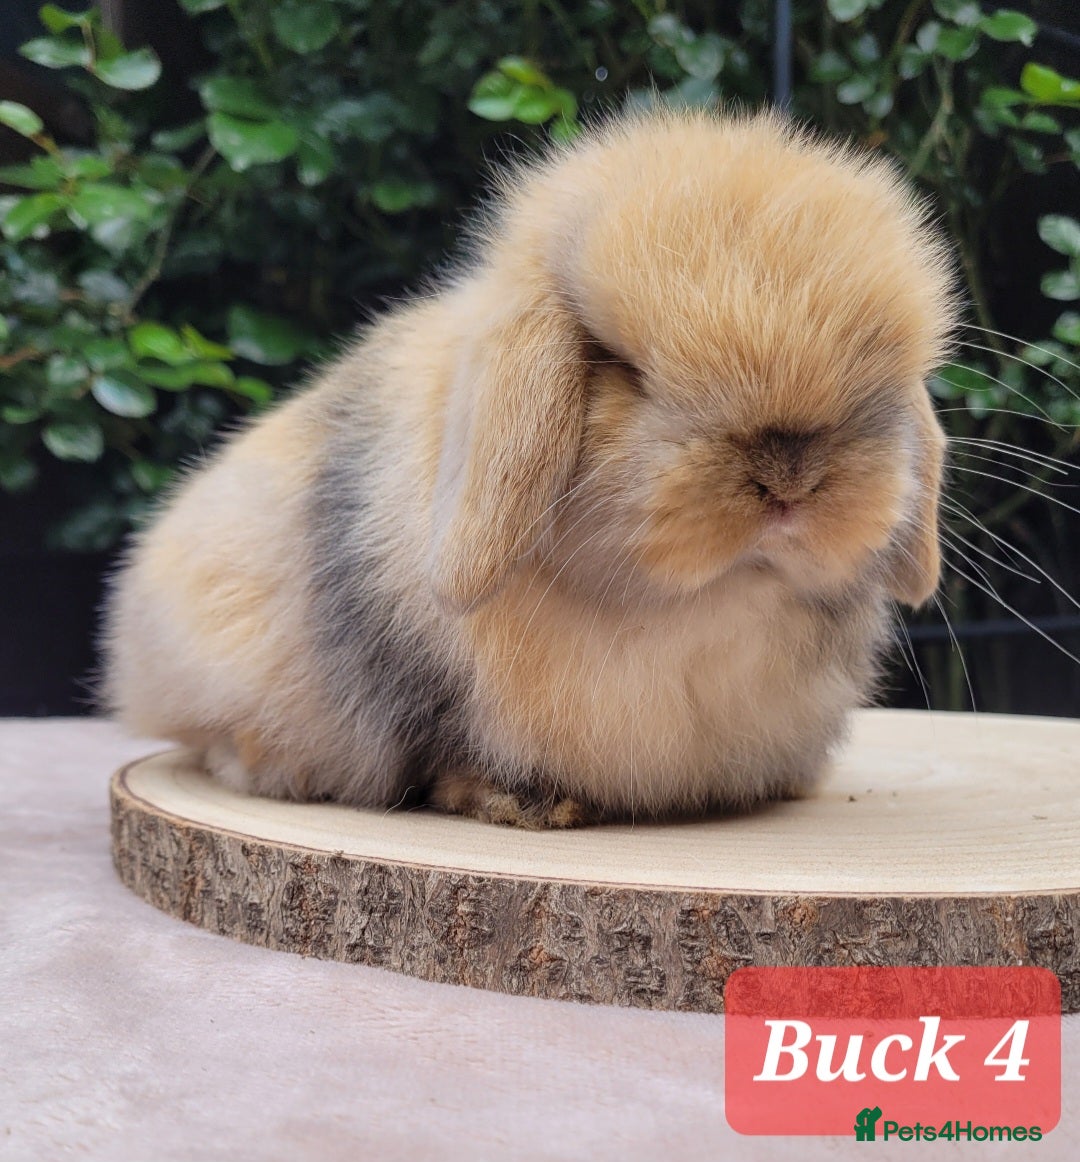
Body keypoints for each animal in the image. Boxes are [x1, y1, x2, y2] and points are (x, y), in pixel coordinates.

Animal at [103, 107, 957, 828]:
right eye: (618, 366)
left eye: (882, 377)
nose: (789, 480)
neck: (701, 609)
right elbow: (454, 760)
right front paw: (523, 806)